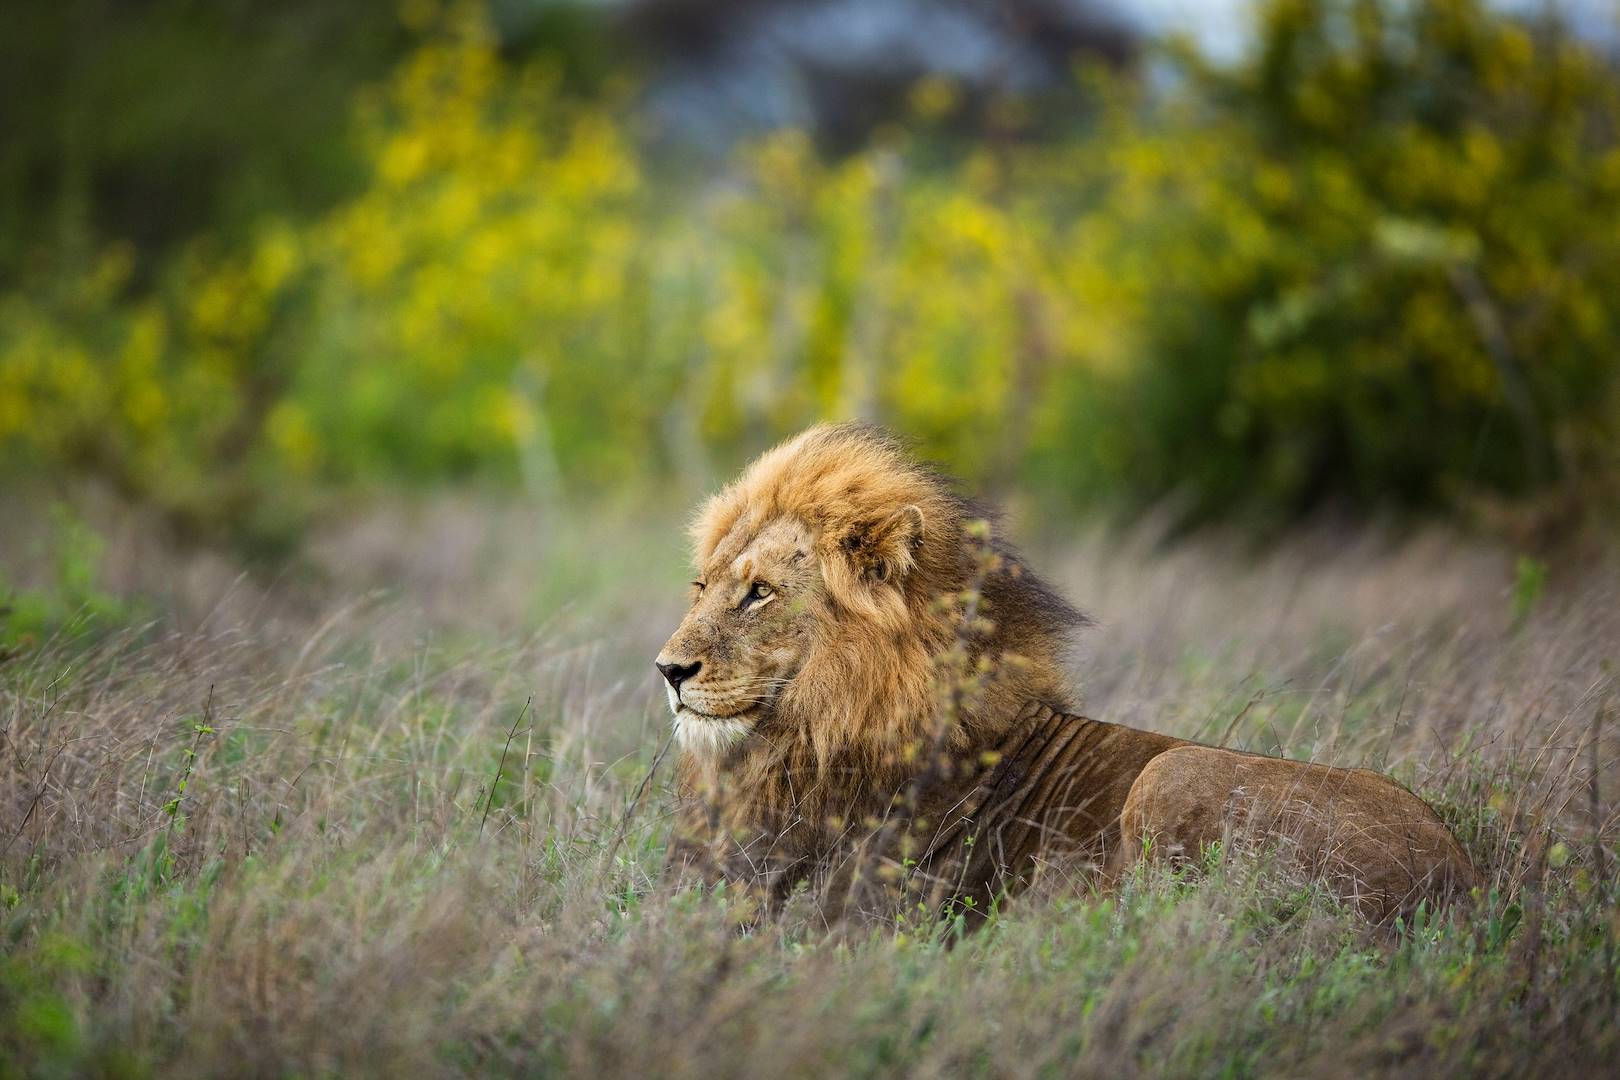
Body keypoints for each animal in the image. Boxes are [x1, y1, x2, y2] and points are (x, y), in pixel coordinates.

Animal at [656, 423, 1476, 924]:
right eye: (701, 587)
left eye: (760, 592)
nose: (668, 669)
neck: (812, 738)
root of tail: (1461, 881)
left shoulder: (857, 917)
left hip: (1171, 774)